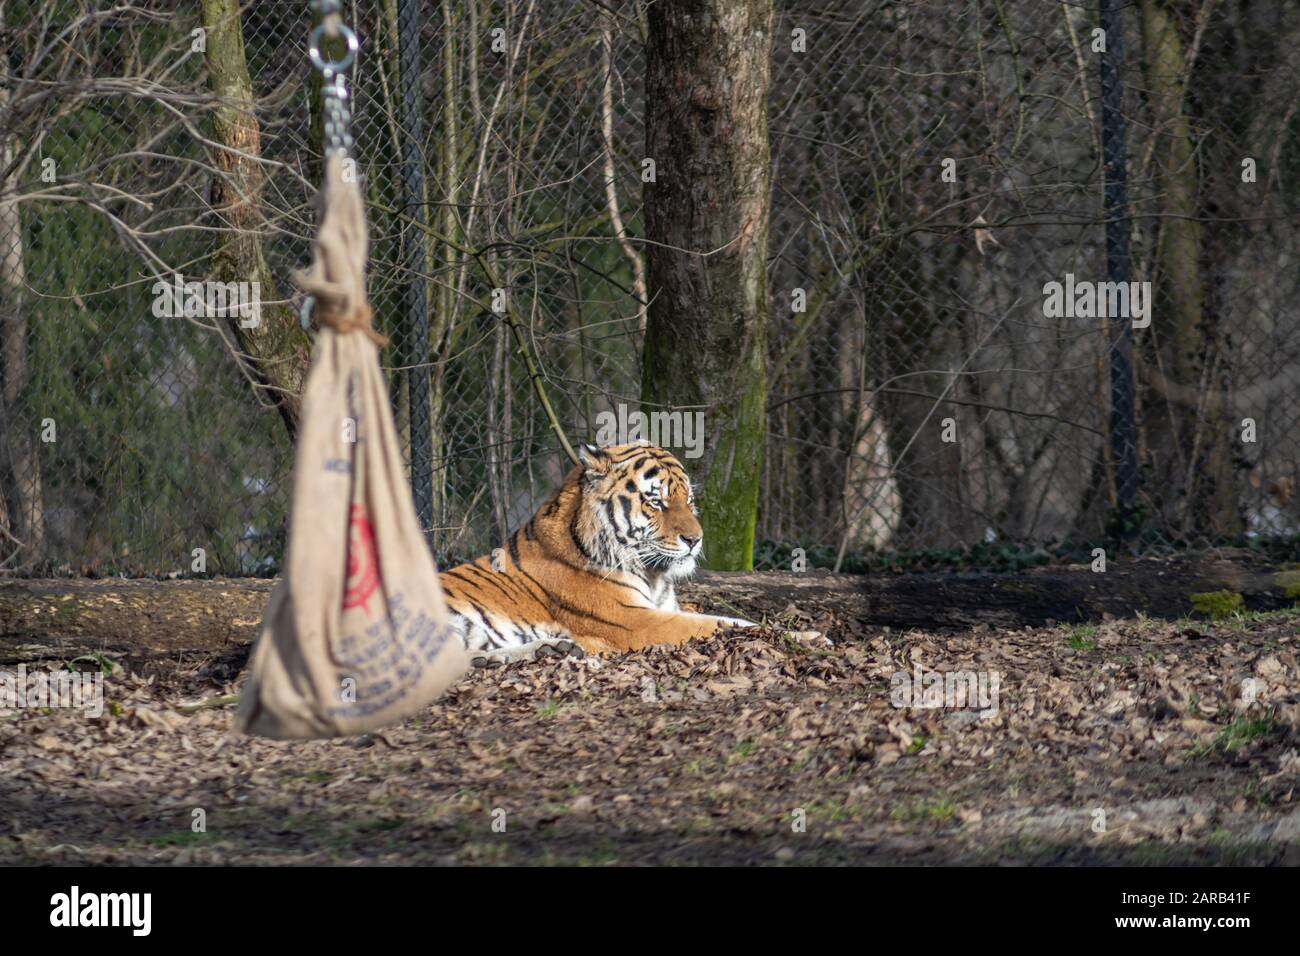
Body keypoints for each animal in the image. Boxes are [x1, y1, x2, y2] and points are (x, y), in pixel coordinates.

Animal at [439, 440, 756, 664]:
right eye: (656, 502)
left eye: (688, 500)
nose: (695, 539)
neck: (654, 577)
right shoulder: (636, 621)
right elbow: (719, 622)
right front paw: (765, 630)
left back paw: (550, 649)